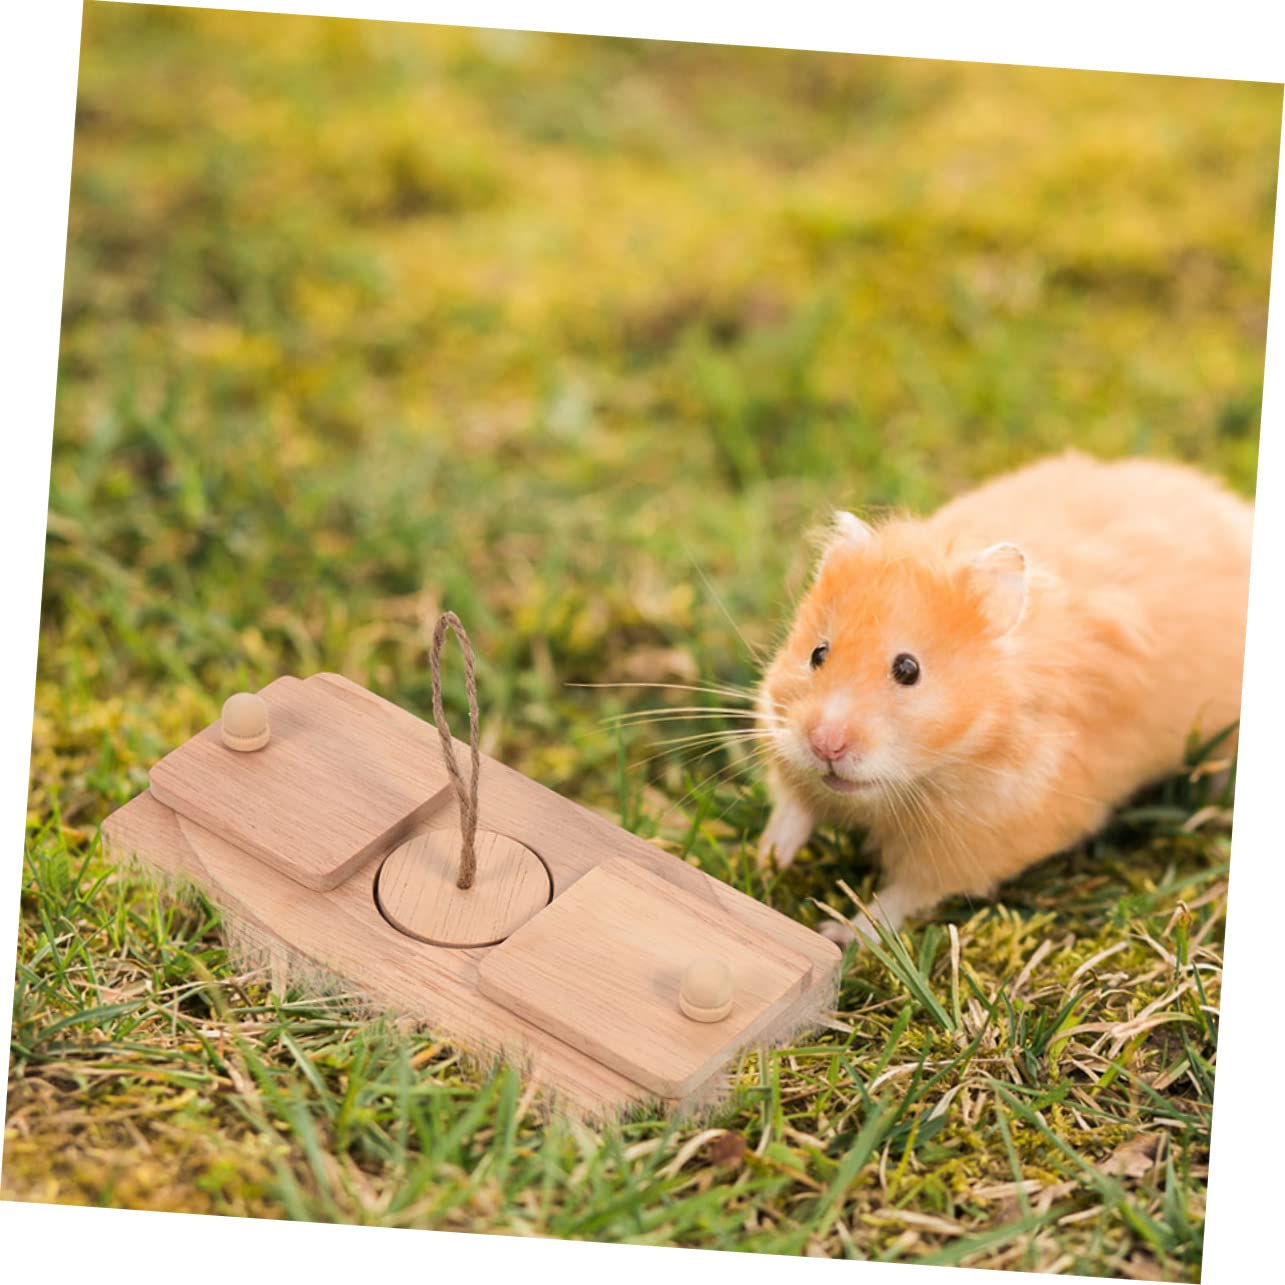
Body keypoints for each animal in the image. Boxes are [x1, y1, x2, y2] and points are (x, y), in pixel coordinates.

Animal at [756, 451, 1253, 944]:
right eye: (817, 653)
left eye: (908, 670)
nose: (825, 744)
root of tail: (1236, 513)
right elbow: (793, 806)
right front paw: (767, 861)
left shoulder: (979, 839)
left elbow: (901, 897)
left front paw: (839, 932)